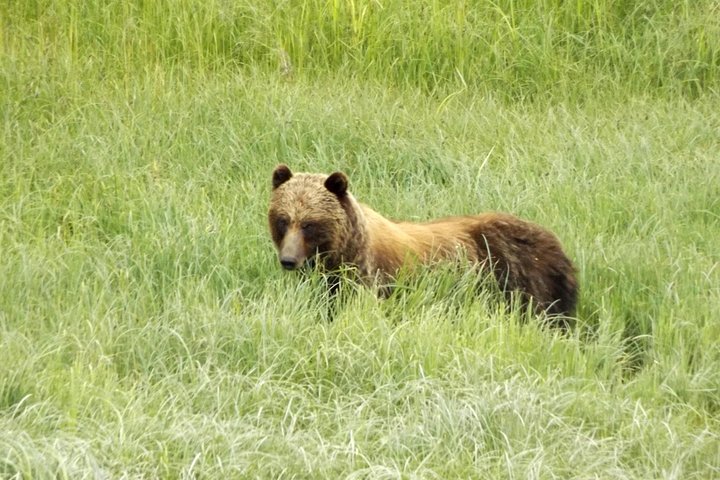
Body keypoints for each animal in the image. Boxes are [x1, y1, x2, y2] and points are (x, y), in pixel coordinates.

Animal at [268, 164, 578, 320]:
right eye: (283, 219)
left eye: (309, 223)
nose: (288, 260)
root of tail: (555, 241)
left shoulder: (371, 277)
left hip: (519, 277)